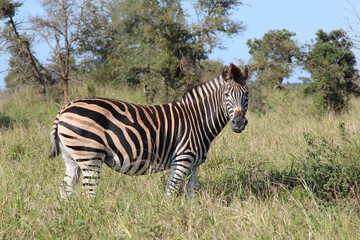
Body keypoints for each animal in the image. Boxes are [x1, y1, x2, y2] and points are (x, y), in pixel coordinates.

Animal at [49, 62, 249, 198]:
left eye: (246, 94)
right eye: (226, 95)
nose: (239, 123)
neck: (198, 119)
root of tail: (65, 108)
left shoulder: (194, 165)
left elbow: (192, 195)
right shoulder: (181, 160)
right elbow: (170, 194)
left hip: (72, 159)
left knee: (65, 191)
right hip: (90, 156)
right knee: (88, 194)